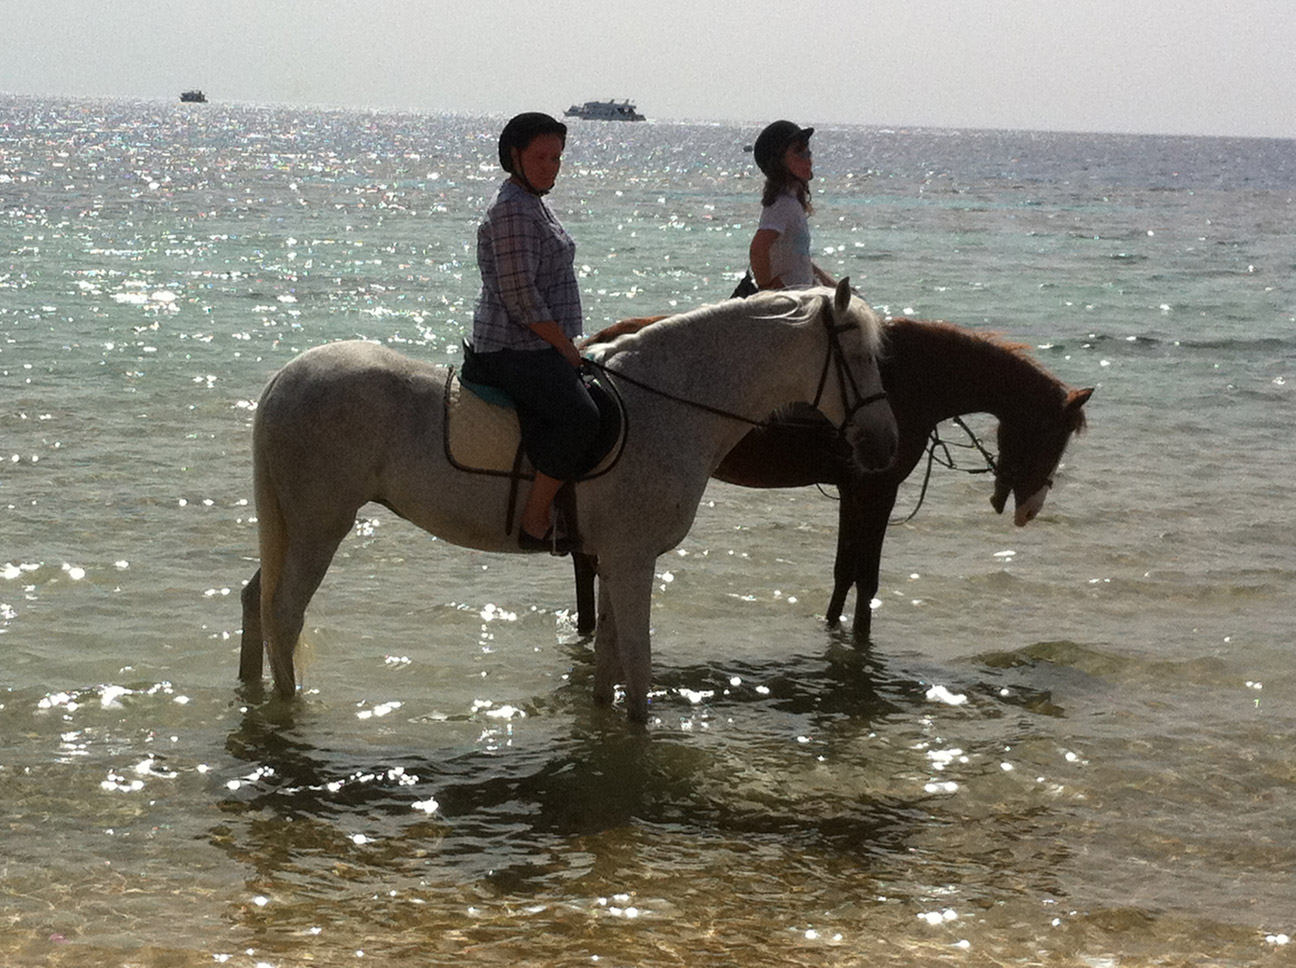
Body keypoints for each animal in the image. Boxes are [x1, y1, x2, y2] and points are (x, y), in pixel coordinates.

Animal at [238, 278, 896, 720]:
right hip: (321, 525)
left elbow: (607, 657)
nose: (883, 445)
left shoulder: (611, 559)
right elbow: (637, 662)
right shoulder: (633, 559)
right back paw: (288, 709)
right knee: (284, 612)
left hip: (297, 526)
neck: (668, 404)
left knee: (256, 600)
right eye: (858, 357)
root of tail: (284, 379)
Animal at [572, 314, 1088, 640]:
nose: (1031, 509)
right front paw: (858, 637)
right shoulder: (877, 490)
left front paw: (832, 625)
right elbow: (867, 576)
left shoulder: (853, 491)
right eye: (1054, 438)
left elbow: (845, 570)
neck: (913, 377)